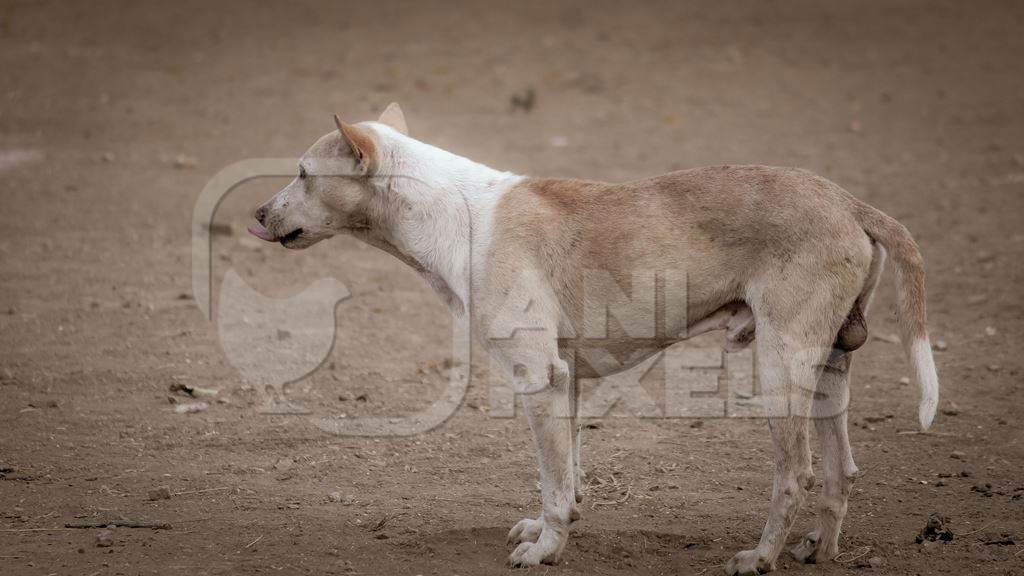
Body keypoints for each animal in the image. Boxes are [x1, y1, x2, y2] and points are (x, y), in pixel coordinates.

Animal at [247, 104, 937, 573]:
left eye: (303, 174)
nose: (256, 215)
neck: (449, 212)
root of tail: (848, 202)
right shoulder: (565, 383)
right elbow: (568, 476)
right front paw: (552, 528)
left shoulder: (538, 380)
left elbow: (555, 485)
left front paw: (547, 549)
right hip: (828, 372)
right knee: (841, 473)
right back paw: (819, 549)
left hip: (780, 369)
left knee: (795, 474)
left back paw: (760, 557)